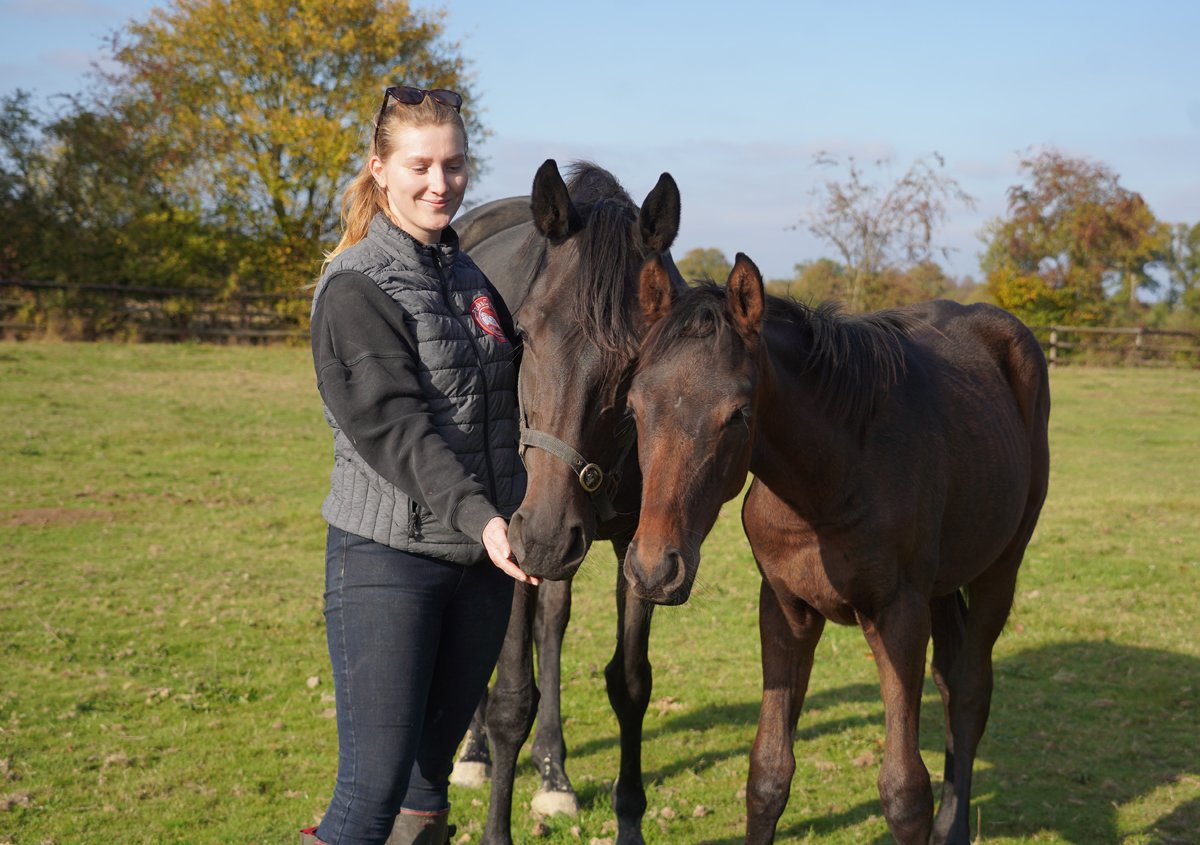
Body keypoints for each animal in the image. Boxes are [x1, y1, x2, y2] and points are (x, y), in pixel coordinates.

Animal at [450, 160, 686, 845]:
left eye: (640, 354)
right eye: (524, 332)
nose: (547, 538)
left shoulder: (638, 546)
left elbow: (630, 685)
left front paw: (628, 821)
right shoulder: (509, 538)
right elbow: (510, 698)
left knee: (551, 622)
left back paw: (554, 773)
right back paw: (472, 754)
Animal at [623, 253, 1051, 844]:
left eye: (738, 413)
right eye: (633, 407)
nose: (653, 570)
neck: (828, 481)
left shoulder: (898, 614)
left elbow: (904, 792)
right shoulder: (785, 608)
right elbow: (768, 773)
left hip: (1001, 567)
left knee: (968, 691)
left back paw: (955, 826)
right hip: (941, 586)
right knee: (950, 677)